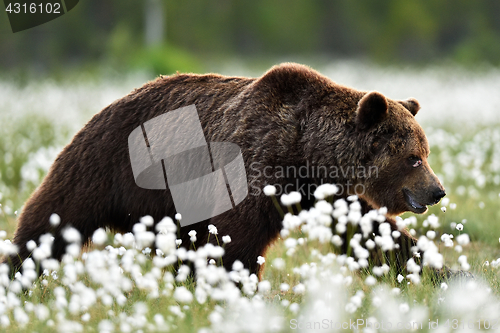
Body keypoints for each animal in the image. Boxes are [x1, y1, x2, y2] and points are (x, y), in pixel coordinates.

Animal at [4, 63, 446, 278]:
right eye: (414, 158)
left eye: (424, 152)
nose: (437, 191)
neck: (306, 156)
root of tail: (107, 105)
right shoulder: (254, 163)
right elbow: (238, 240)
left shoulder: (331, 194)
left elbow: (372, 234)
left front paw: (435, 272)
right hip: (106, 166)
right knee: (54, 217)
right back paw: (19, 269)